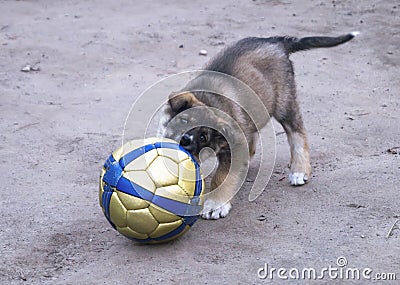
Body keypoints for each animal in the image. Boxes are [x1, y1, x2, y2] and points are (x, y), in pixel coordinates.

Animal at [158, 31, 358, 219]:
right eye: (184, 120)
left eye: (202, 137)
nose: (185, 140)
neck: (209, 100)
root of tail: (276, 41)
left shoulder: (232, 147)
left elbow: (222, 178)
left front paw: (216, 204)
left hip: (284, 103)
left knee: (297, 133)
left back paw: (299, 170)